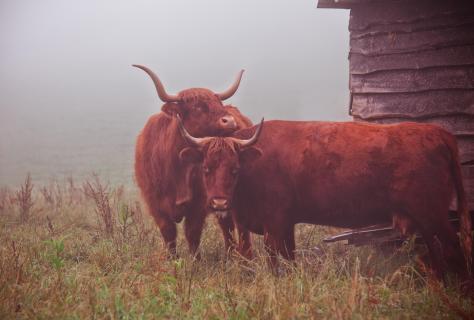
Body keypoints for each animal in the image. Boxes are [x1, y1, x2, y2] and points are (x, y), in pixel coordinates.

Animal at [133, 65, 252, 258]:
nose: (229, 121)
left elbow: (192, 233)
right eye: (197, 107)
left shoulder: (199, 204)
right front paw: (173, 260)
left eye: (218, 103)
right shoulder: (156, 204)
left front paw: (195, 261)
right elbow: (169, 234)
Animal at [180, 119, 472, 278]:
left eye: (234, 169)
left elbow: (275, 257)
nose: (219, 203)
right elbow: (284, 256)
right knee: (436, 253)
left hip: (434, 215)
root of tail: (437, 132)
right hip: (425, 219)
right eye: (206, 168)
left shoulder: (274, 222)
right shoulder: (270, 224)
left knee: (454, 251)